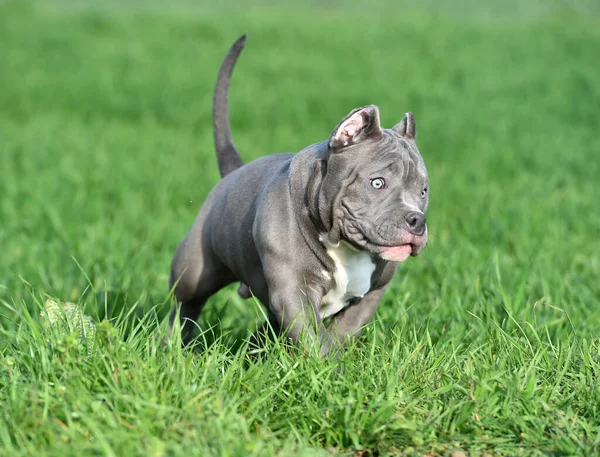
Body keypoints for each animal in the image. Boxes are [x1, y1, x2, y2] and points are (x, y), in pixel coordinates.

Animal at [169, 36, 428, 356]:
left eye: (423, 191)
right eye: (377, 183)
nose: (416, 220)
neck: (343, 244)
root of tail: (234, 171)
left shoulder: (371, 294)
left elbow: (340, 332)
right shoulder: (293, 290)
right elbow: (312, 335)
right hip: (193, 270)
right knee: (185, 305)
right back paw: (172, 344)